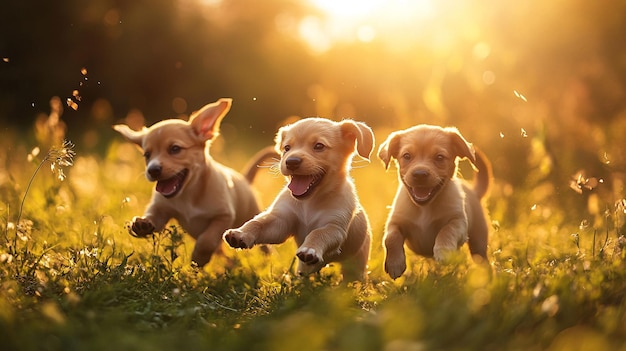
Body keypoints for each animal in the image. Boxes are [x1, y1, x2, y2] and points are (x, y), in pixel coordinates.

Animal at [112, 97, 278, 268]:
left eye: (175, 149)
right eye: (147, 155)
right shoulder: (161, 208)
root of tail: (245, 179)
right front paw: (142, 225)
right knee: (222, 252)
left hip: (252, 215)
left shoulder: (223, 216)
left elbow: (206, 240)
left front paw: (199, 259)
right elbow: (153, 217)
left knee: (263, 245)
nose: (152, 170)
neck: (188, 193)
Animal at [223, 118, 372, 284]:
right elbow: (258, 223)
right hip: (304, 268)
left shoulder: (334, 227)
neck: (310, 202)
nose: (291, 162)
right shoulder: (280, 221)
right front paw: (240, 233)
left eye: (319, 146)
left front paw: (310, 249)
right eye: (287, 148)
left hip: (357, 263)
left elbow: (318, 233)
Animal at [376, 125, 492, 280]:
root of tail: (473, 190)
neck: (424, 207)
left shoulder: (458, 222)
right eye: (406, 156)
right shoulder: (395, 222)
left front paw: (444, 252)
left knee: (483, 261)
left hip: (478, 242)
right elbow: (390, 238)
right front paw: (395, 264)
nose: (420, 174)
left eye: (439, 157)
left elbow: (446, 231)